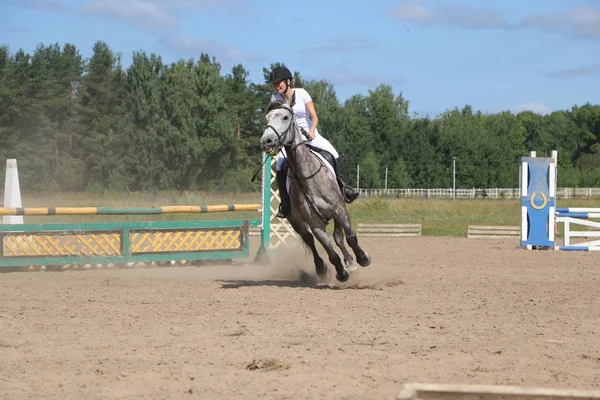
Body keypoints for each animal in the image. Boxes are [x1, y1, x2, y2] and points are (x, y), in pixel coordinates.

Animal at [262, 99, 372, 282]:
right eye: (267, 118)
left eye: (285, 117)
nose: (267, 141)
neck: (308, 176)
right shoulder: (315, 223)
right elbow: (330, 252)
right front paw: (341, 273)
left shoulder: (339, 210)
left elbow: (350, 237)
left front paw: (362, 258)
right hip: (295, 220)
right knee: (309, 240)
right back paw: (321, 268)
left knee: (338, 236)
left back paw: (351, 262)